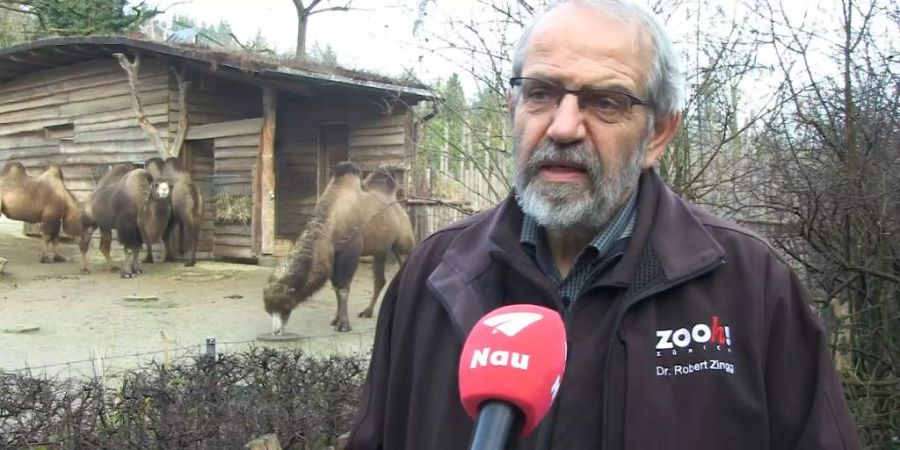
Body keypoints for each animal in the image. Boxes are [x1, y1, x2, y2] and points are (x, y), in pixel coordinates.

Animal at [260, 162, 414, 334]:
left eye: (286, 305)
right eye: (269, 310)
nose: (276, 331)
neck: (332, 221)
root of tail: (400, 207)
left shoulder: (349, 251)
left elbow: (343, 287)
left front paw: (343, 324)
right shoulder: (333, 256)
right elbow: (335, 287)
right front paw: (335, 319)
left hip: (403, 243)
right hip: (380, 250)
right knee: (379, 279)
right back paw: (367, 312)